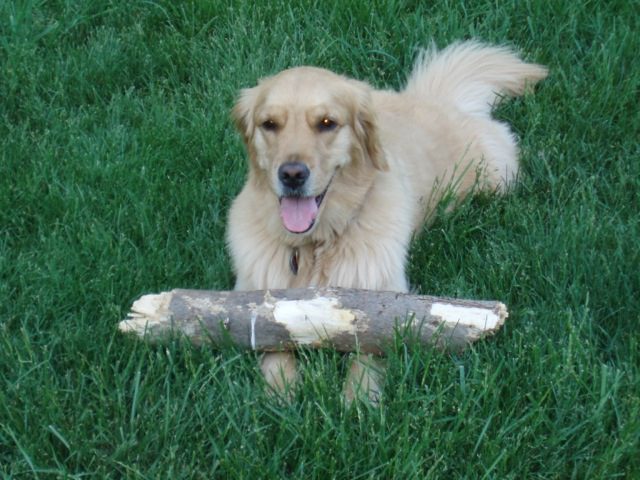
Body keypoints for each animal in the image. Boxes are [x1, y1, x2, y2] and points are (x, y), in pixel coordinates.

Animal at [225, 40, 544, 402]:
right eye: (269, 124)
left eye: (327, 122)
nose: (292, 174)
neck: (316, 244)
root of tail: (433, 97)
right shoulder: (250, 297)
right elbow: (272, 345)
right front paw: (283, 395)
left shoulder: (385, 296)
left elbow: (369, 350)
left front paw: (358, 401)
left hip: (498, 178)